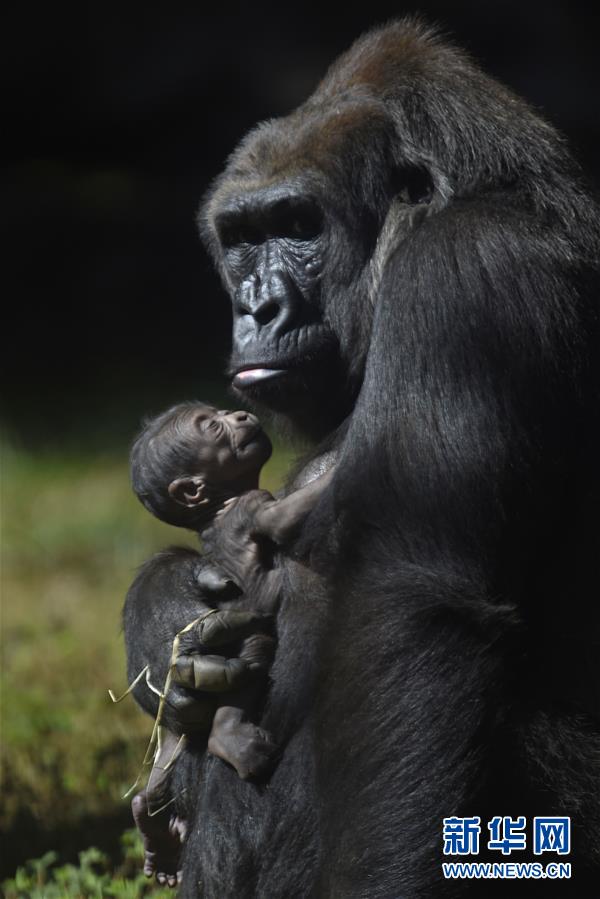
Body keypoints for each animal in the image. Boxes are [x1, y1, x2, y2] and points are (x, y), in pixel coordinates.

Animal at [129, 404, 332, 888]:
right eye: (211, 426)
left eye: (218, 415)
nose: (239, 414)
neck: (219, 505)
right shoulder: (252, 506)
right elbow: (283, 518)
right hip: (247, 640)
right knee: (247, 667)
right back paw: (230, 740)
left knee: (174, 738)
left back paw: (153, 824)